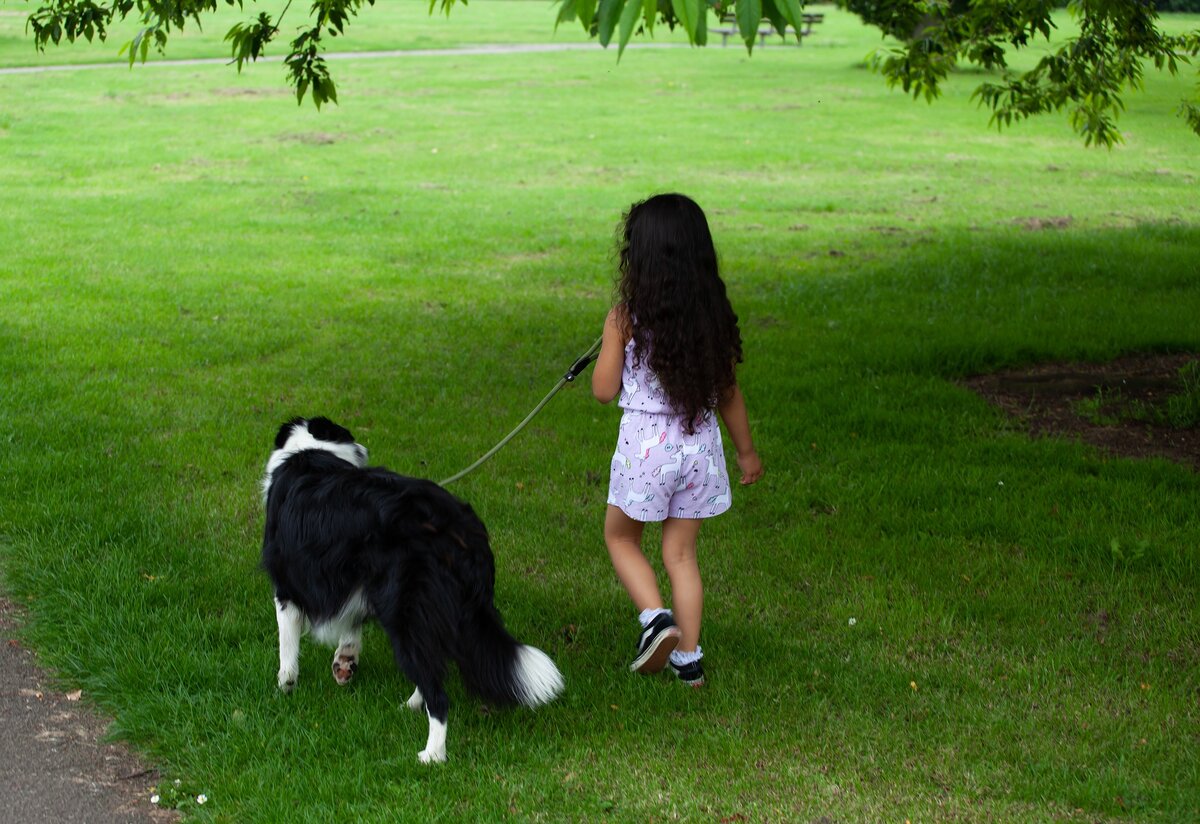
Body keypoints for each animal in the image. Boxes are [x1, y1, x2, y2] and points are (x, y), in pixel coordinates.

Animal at [262, 422, 561, 762]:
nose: (365, 449)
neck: (311, 449)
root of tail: (457, 528)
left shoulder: (287, 585)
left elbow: (287, 643)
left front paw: (285, 686)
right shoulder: (357, 581)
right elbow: (352, 625)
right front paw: (345, 661)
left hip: (406, 611)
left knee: (438, 693)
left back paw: (431, 754)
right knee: (432, 666)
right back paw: (411, 706)